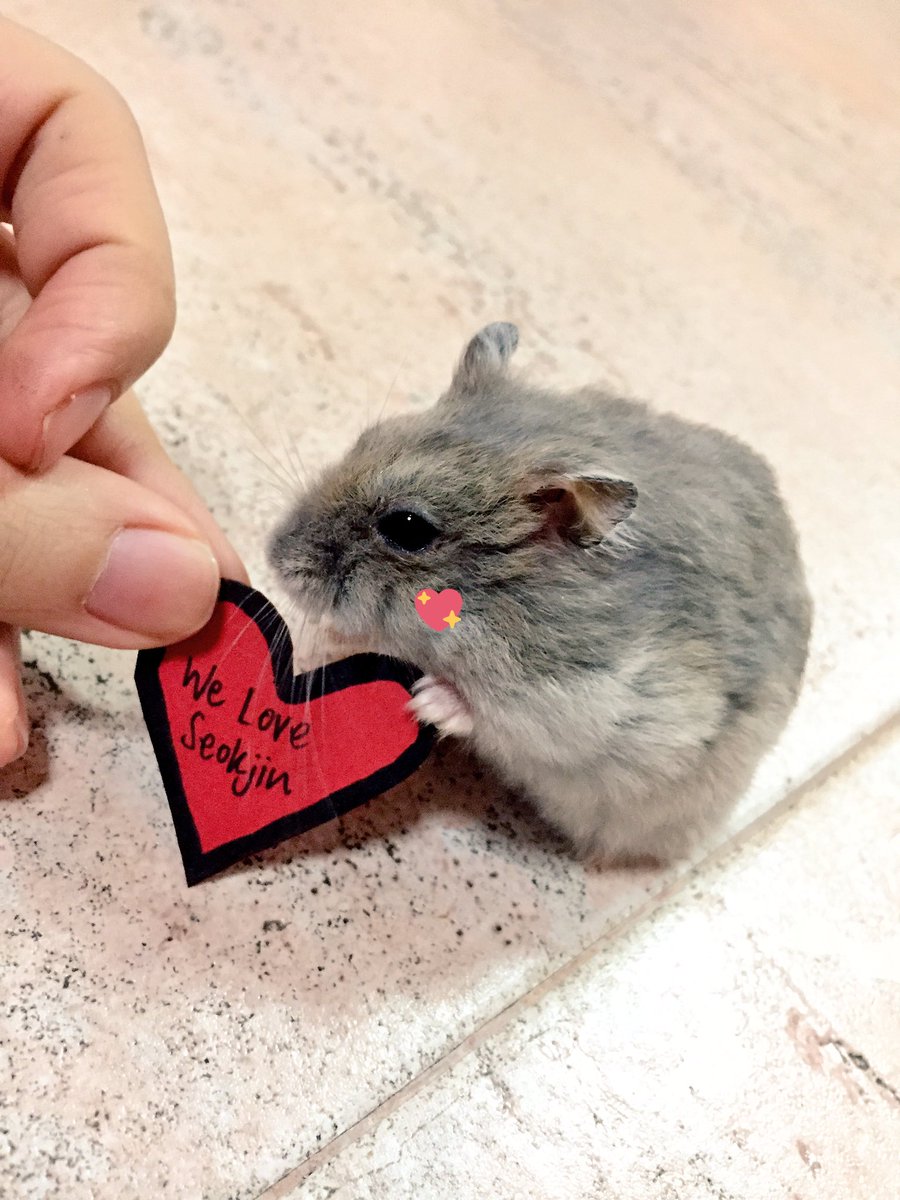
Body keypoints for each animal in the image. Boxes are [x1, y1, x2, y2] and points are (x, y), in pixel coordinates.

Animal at [269, 323, 812, 864]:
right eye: (366, 439)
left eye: (407, 528)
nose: (273, 555)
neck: (501, 601)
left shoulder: (575, 704)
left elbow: (492, 716)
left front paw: (425, 702)